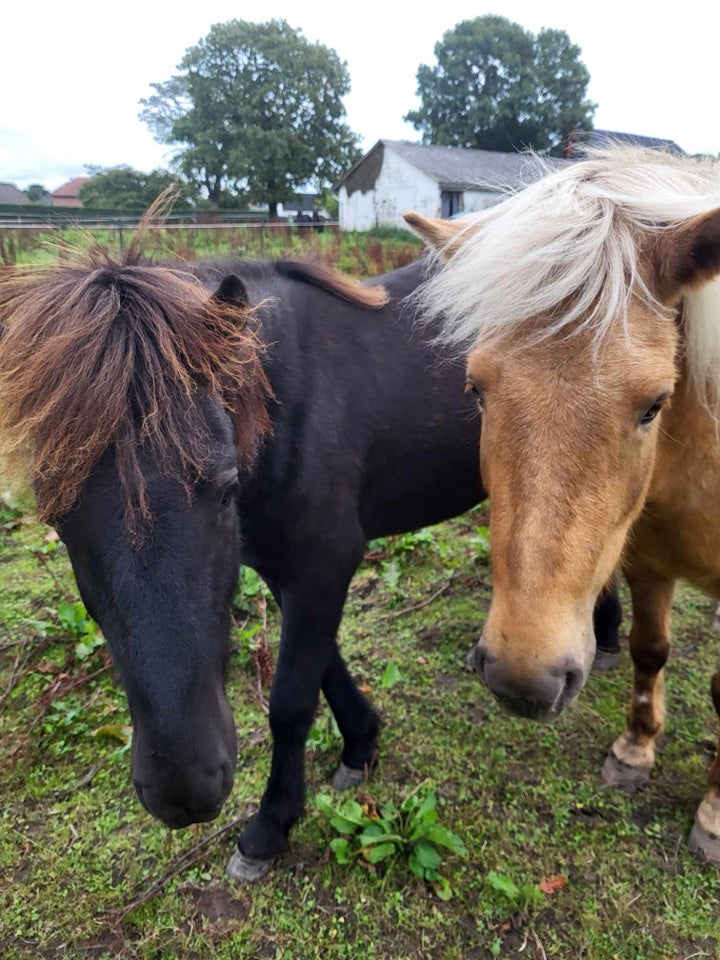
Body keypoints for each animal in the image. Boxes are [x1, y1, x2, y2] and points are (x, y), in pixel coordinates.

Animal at [0, 244, 620, 880]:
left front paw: (270, 825)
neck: (288, 403)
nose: (183, 788)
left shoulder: (325, 563)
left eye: (225, 488)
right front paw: (361, 744)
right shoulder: (286, 569)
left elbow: (291, 701)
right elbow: (325, 667)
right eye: (55, 516)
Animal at [408, 146, 720, 868]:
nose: (524, 679)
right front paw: (634, 752)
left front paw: (715, 816)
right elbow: (649, 650)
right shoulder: (648, 562)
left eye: (655, 404)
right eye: (476, 388)